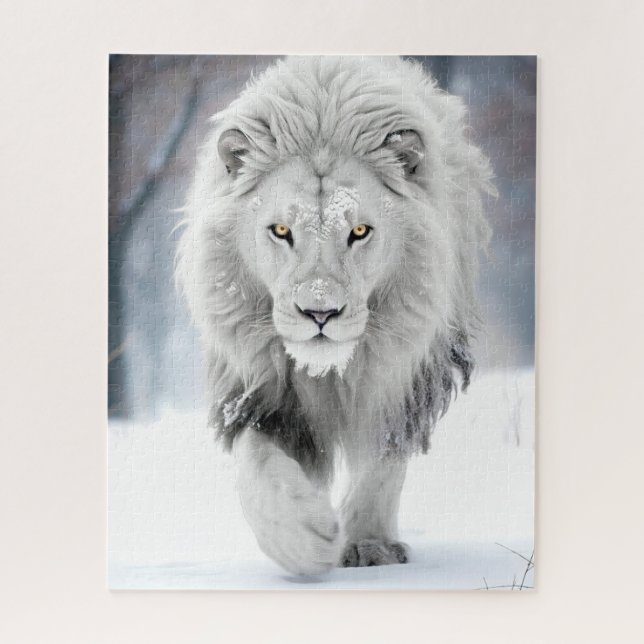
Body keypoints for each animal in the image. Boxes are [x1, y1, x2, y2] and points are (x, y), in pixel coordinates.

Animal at [176, 56, 494, 575]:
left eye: (359, 231)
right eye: (281, 230)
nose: (319, 312)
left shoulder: (405, 376)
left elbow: (384, 460)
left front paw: (368, 544)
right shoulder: (257, 389)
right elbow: (257, 465)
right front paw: (304, 536)